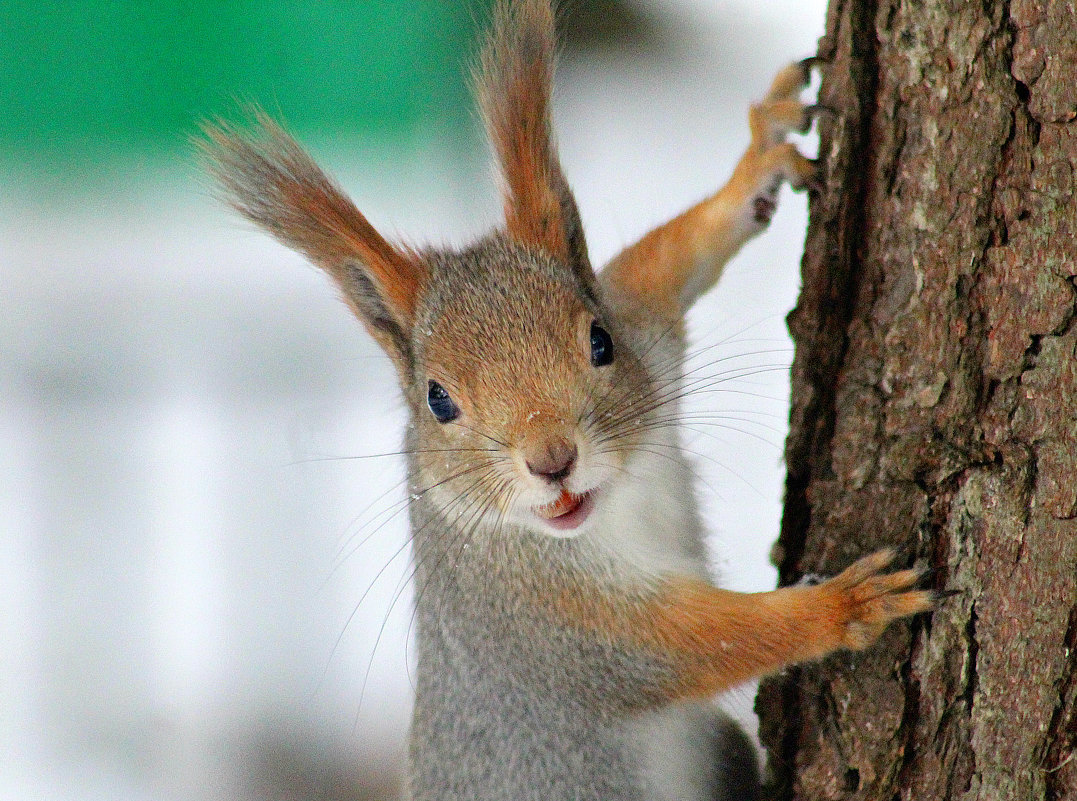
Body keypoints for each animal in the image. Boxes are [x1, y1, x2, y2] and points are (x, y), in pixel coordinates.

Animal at [200, 3, 934, 796]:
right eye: (437, 400)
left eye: (599, 341)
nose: (552, 461)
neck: (614, 506)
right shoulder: (545, 621)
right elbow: (699, 643)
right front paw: (845, 603)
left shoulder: (644, 326)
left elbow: (663, 261)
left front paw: (756, 164)